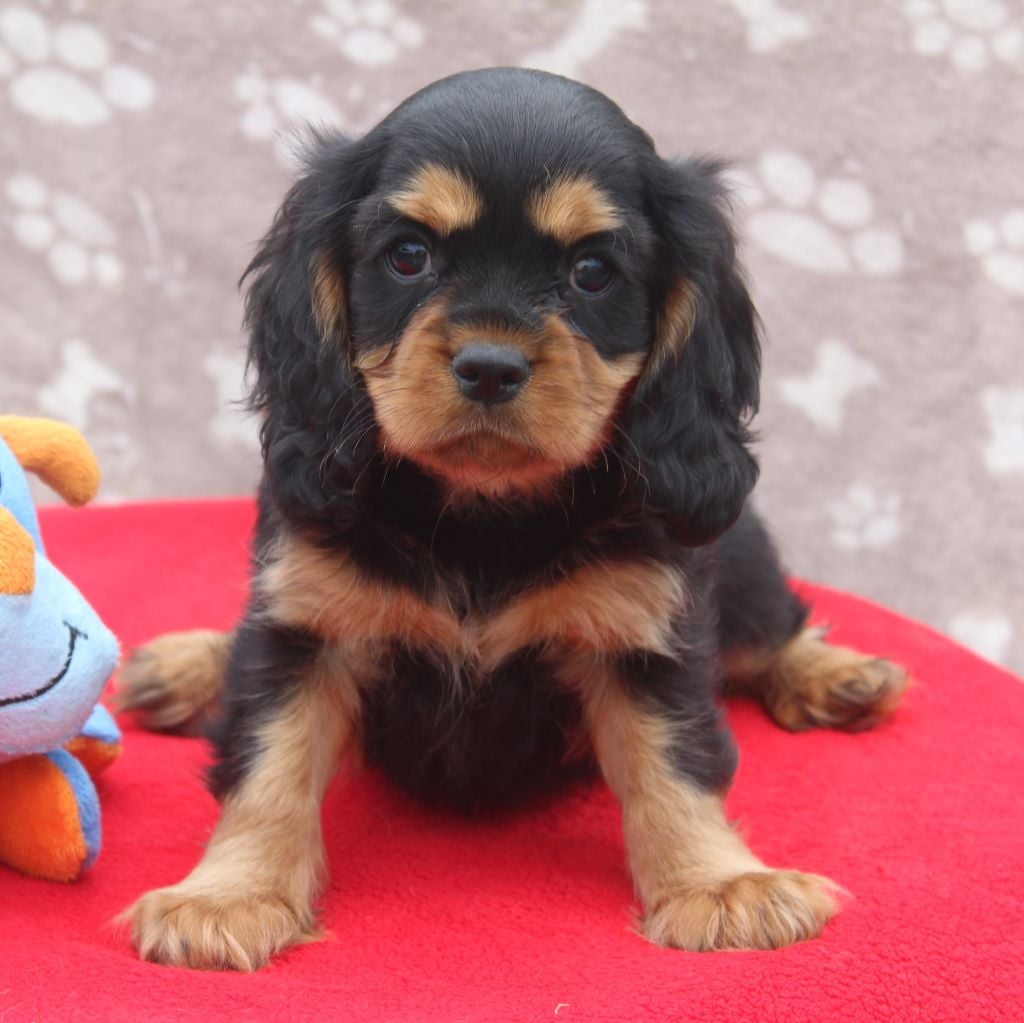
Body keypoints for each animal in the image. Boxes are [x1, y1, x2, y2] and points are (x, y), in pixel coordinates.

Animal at [118, 67, 907, 970]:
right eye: (409, 256)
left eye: (592, 271)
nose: (490, 367)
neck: (482, 516)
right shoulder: (302, 624)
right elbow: (265, 759)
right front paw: (230, 895)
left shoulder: (646, 632)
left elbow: (676, 758)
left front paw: (720, 885)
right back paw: (188, 666)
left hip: (739, 557)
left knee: (768, 633)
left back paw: (835, 674)